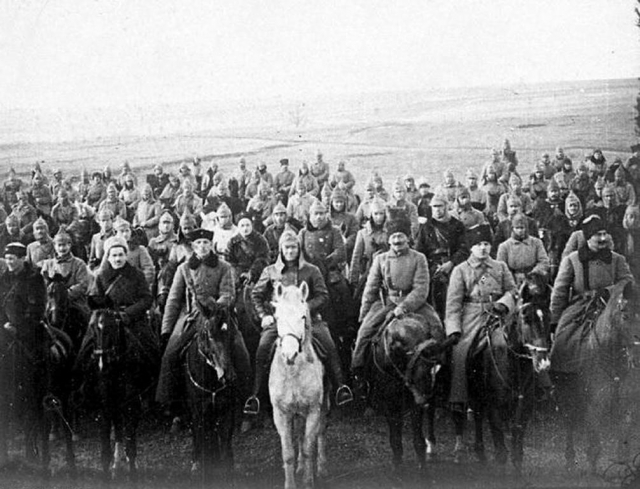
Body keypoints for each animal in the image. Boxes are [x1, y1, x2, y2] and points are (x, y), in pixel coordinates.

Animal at [184, 304, 239, 478]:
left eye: (232, 332)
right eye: (209, 333)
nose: (228, 376)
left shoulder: (227, 410)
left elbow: (225, 448)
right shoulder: (199, 412)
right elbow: (204, 443)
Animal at [270, 282, 330, 488]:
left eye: (303, 316)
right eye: (277, 317)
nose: (290, 355)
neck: (293, 372)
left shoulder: (313, 410)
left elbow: (308, 448)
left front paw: (308, 481)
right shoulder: (281, 414)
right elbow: (288, 453)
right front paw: (291, 481)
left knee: (320, 432)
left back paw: (321, 467)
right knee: (299, 433)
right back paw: (300, 467)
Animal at [364, 312, 444, 468]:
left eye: (428, 336)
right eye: (397, 348)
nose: (425, 384)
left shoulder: (415, 404)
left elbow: (418, 442)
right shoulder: (390, 406)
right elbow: (395, 442)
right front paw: (398, 468)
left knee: (430, 412)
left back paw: (431, 444)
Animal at [452, 270, 552, 472]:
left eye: (548, 317)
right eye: (526, 318)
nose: (543, 362)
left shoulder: (524, 406)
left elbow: (517, 451)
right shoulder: (495, 407)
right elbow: (501, 453)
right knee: (470, 415)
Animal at [552, 280, 640, 470]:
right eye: (625, 315)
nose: (638, 357)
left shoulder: (628, 405)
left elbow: (623, 445)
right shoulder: (594, 405)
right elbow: (594, 447)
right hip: (566, 395)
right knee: (569, 423)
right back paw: (569, 460)